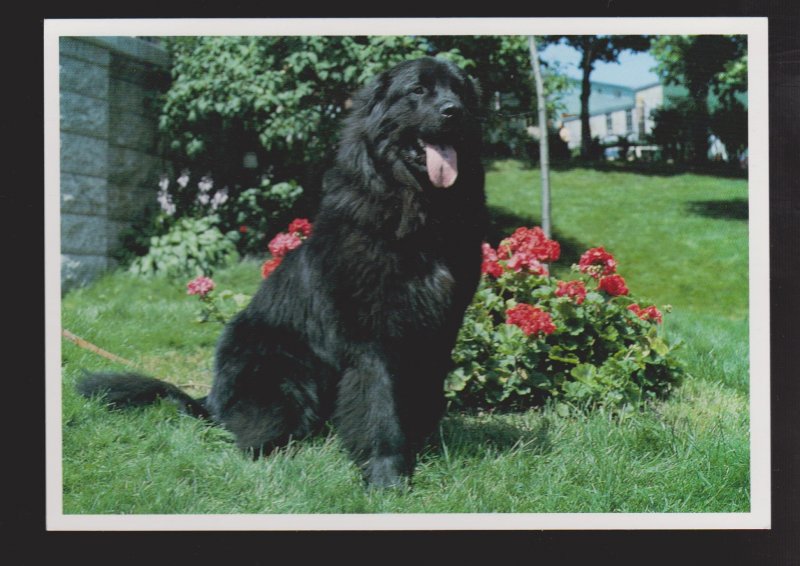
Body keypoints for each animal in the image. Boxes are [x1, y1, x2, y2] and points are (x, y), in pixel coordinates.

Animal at [83, 57, 494, 490]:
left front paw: (423, 449)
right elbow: (380, 405)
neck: (418, 217)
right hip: (284, 376)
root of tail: (208, 400)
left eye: (460, 91)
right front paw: (387, 477)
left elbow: (426, 396)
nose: (453, 111)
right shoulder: (372, 338)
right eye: (417, 90)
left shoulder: (439, 329)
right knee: (251, 436)